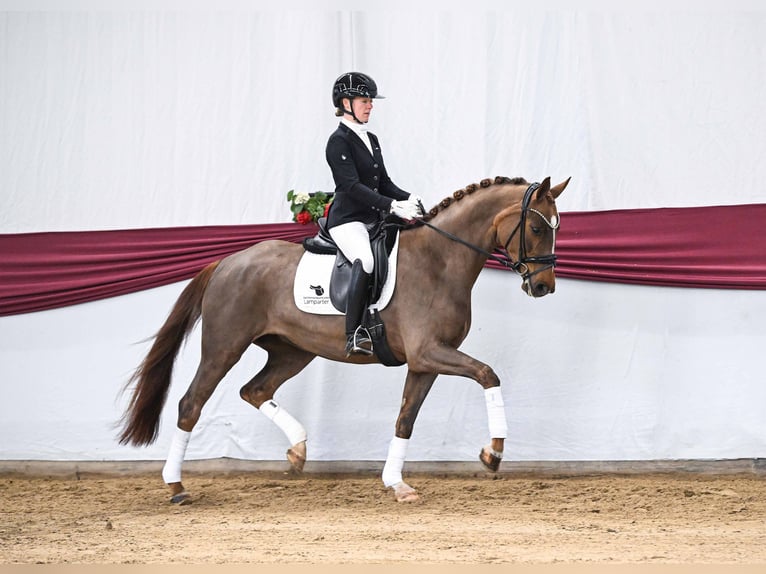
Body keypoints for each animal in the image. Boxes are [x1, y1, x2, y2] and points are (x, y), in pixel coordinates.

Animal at [118, 175, 569, 503]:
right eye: (535, 226)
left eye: (556, 228)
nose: (544, 286)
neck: (440, 260)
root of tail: (227, 261)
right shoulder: (431, 352)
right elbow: (489, 374)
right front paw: (493, 454)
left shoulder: (424, 362)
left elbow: (405, 418)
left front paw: (395, 483)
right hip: (223, 346)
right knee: (191, 403)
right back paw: (177, 487)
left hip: (292, 351)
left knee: (255, 389)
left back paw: (298, 451)